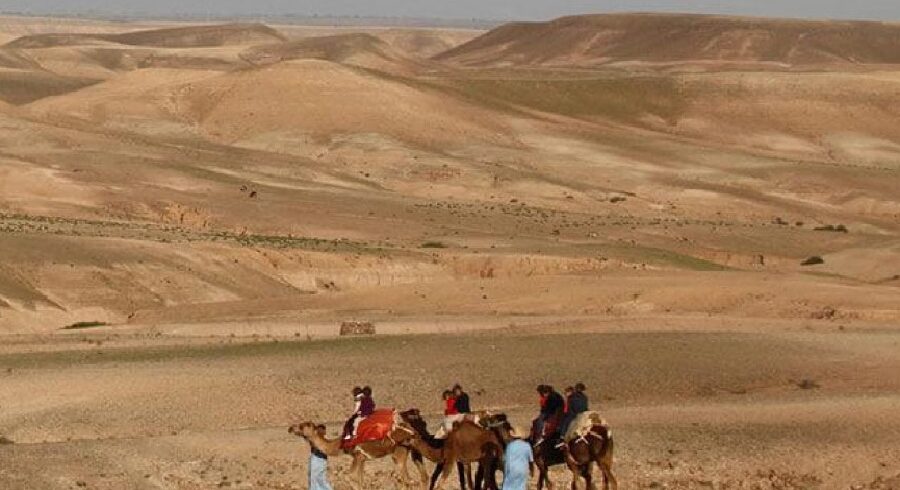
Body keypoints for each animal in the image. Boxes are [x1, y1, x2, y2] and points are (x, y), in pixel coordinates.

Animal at [288, 420, 428, 490]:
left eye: (305, 425)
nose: (291, 428)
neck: (339, 445)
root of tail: (413, 431)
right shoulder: (362, 459)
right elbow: (361, 480)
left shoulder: (357, 456)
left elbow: (350, 477)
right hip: (406, 451)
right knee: (415, 478)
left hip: (399, 452)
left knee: (406, 480)